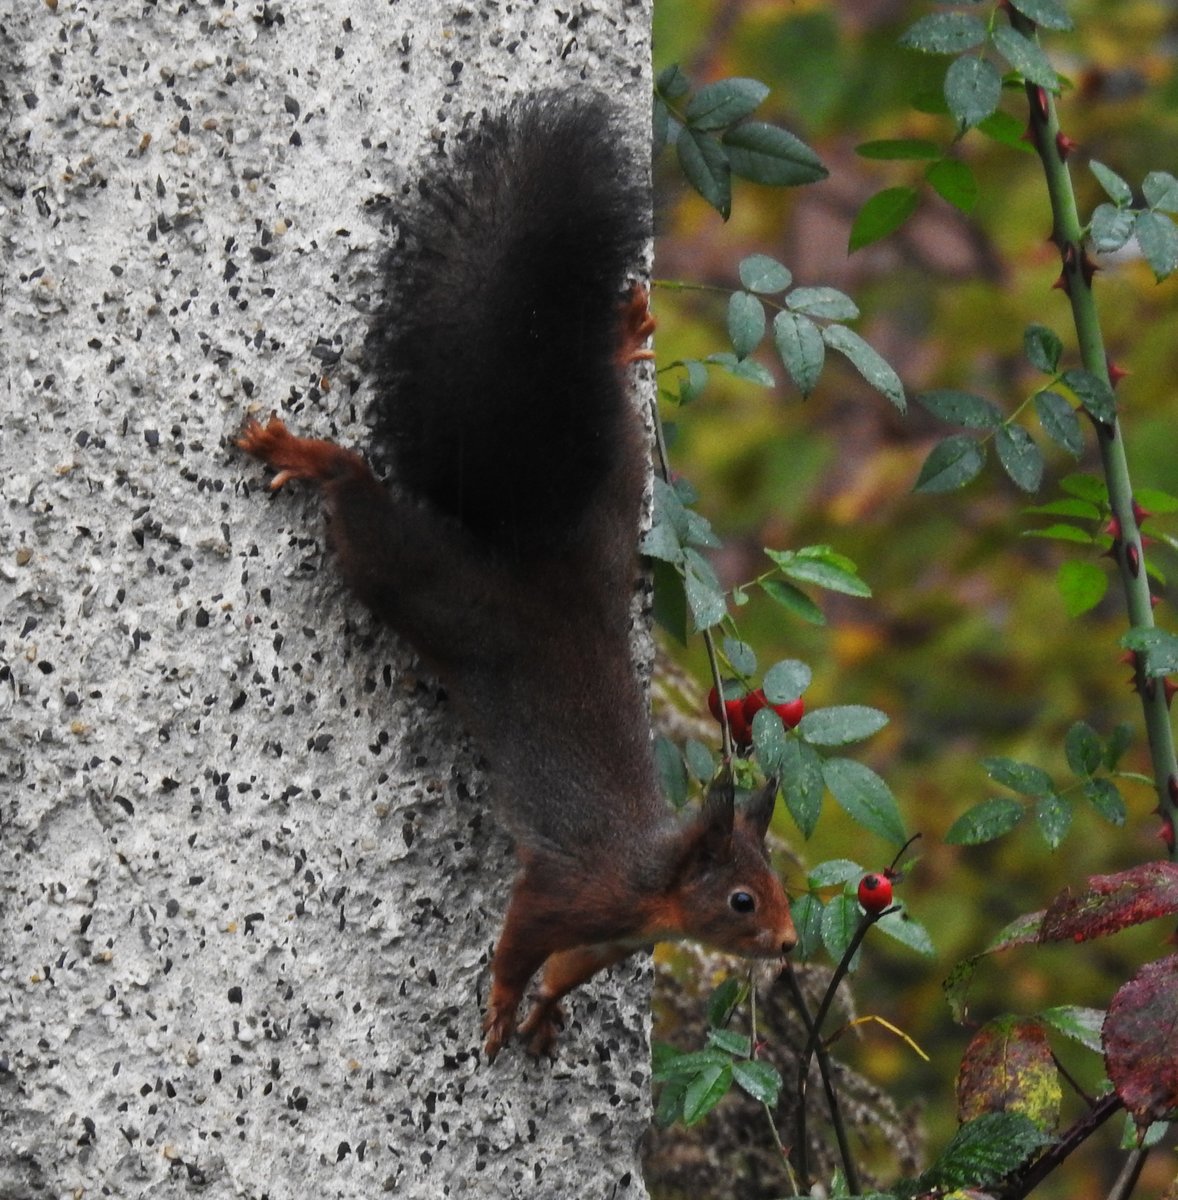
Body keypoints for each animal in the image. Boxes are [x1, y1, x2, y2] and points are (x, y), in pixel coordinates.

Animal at [236, 93, 796, 1056]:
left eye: (778, 890)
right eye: (740, 900)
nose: (791, 943)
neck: (652, 889)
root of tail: (536, 553)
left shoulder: (608, 937)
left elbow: (567, 971)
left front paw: (546, 1013)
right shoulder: (571, 891)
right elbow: (521, 940)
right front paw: (502, 1005)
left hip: (616, 487)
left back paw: (623, 336)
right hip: (416, 579)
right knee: (357, 500)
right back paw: (303, 455)